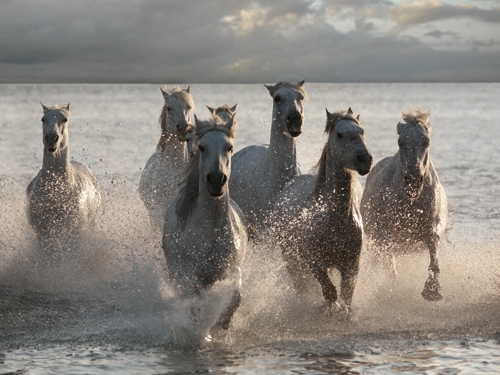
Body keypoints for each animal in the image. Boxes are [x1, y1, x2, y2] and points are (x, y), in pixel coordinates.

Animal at [26, 103, 101, 253]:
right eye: (43, 119)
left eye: (65, 119)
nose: (51, 139)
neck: (57, 191)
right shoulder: (43, 232)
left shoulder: (75, 231)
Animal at [163, 115, 247, 332]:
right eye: (202, 147)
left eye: (229, 147)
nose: (216, 179)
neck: (211, 230)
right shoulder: (189, 273)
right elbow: (195, 302)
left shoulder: (231, 270)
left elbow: (235, 298)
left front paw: (222, 324)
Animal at [274, 109, 372, 318]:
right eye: (339, 134)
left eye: (362, 131)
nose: (365, 160)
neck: (336, 217)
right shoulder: (315, 262)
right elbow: (329, 291)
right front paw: (328, 311)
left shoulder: (351, 263)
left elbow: (346, 294)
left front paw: (343, 313)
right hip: (291, 259)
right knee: (301, 285)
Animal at [360, 107, 450, 302]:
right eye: (401, 143)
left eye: (426, 142)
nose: (414, 181)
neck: (410, 200)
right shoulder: (383, 233)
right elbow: (388, 263)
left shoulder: (432, 225)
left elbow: (433, 250)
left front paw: (432, 289)